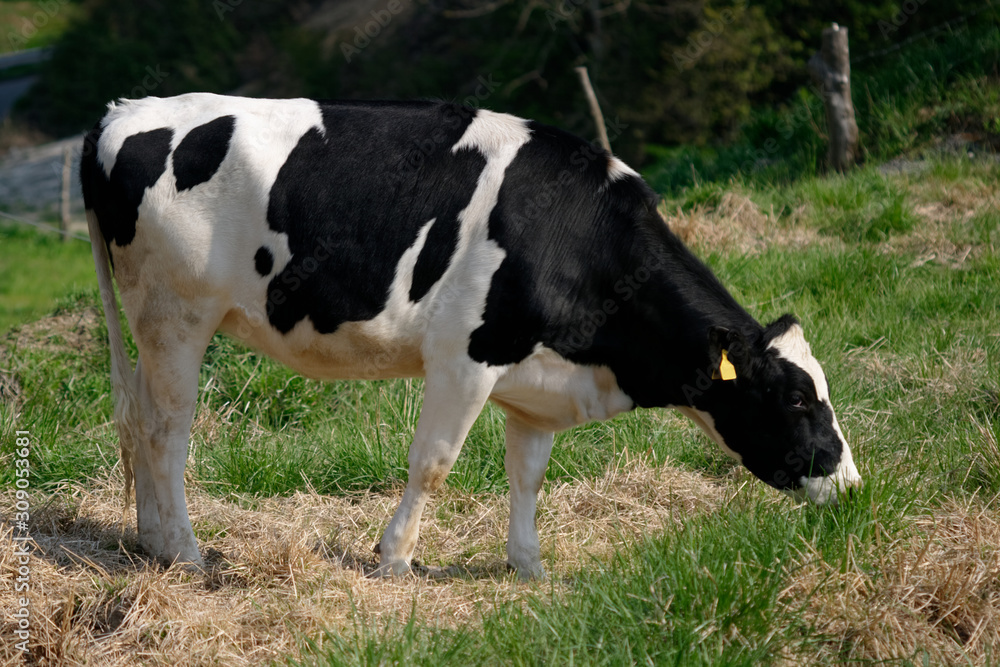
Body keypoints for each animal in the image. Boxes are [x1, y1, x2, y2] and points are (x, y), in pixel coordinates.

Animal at [80, 94, 860, 580]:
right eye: (796, 398)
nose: (853, 485)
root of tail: (125, 110)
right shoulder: (464, 356)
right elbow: (433, 463)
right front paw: (394, 558)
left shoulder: (534, 382)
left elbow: (529, 474)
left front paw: (528, 565)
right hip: (176, 315)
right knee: (167, 428)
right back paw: (183, 550)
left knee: (138, 418)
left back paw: (149, 539)